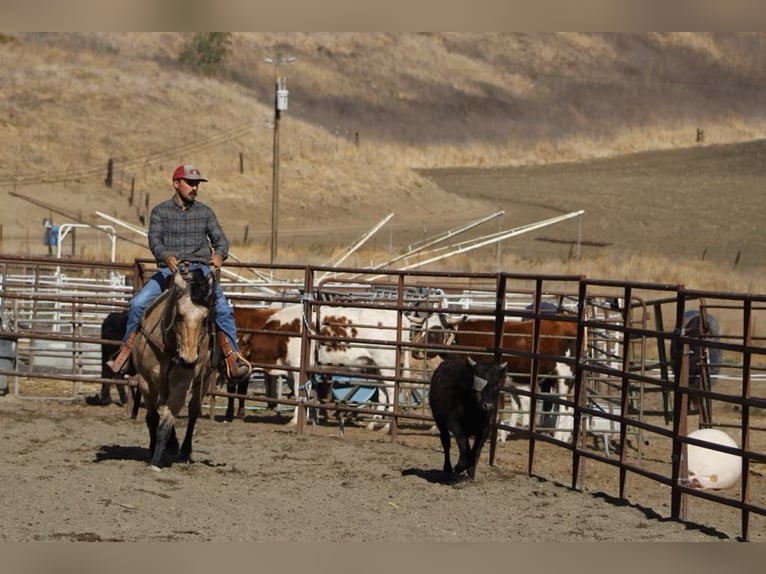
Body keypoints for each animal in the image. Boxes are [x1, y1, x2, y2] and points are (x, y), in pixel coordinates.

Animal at [133, 268, 219, 470]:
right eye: (179, 315)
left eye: (205, 318)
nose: (188, 360)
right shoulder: (146, 382)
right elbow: (153, 418)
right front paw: (152, 450)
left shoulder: (181, 386)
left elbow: (165, 424)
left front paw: (155, 463)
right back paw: (172, 445)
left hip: (203, 382)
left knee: (193, 413)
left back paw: (184, 451)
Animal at [237, 306, 412, 432]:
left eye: (242, 352)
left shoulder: (298, 368)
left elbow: (299, 393)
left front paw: (295, 420)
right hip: (378, 368)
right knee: (383, 394)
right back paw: (373, 424)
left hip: (388, 365)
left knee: (392, 392)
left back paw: (388, 427)